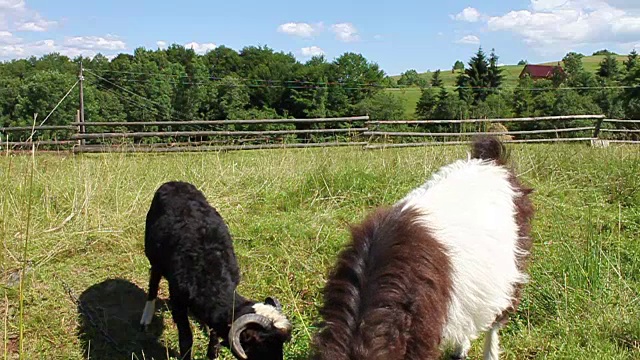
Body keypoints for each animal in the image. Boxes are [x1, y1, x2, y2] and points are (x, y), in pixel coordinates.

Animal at [141, 183, 294, 360]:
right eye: (257, 340)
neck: (211, 272)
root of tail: (173, 182)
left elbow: (214, 332)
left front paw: (212, 351)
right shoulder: (177, 300)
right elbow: (186, 338)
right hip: (153, 256)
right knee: (154, 280)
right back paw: (145, 319)